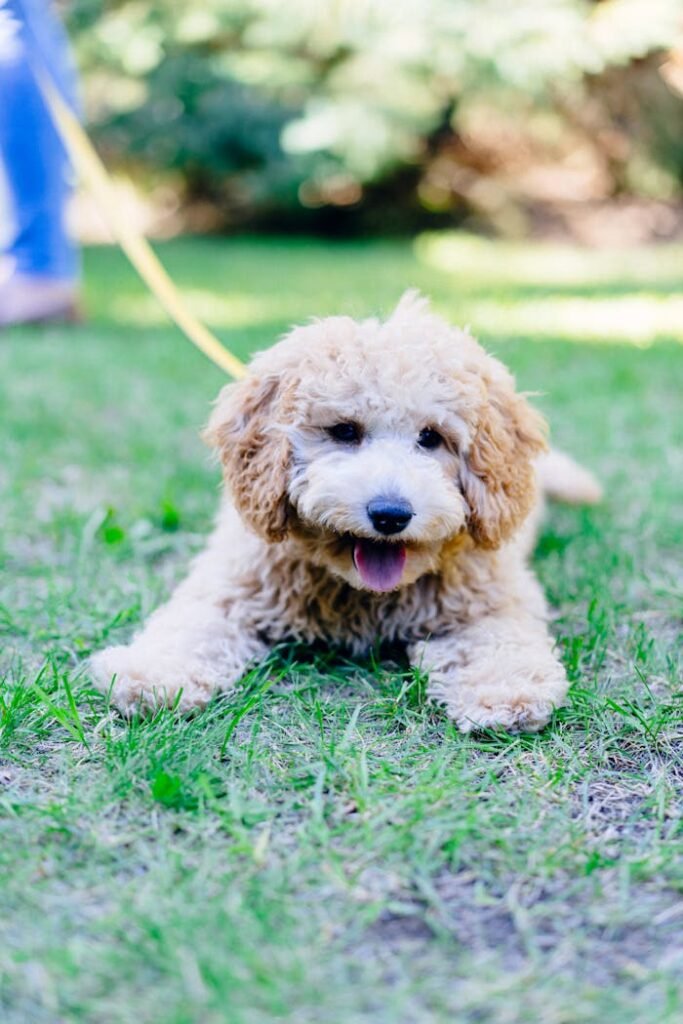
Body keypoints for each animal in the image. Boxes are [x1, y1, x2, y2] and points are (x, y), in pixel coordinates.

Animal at [89, 292, 598, 733]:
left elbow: (500, 639)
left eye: (431, 437)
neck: (362, 596)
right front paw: (153, 673)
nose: (390, 514)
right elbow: (191, 626)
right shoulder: (230, 585)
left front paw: (506, 689)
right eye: (344, 431)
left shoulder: (491, 595)